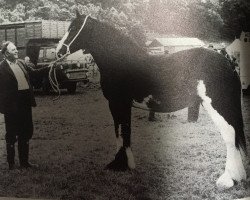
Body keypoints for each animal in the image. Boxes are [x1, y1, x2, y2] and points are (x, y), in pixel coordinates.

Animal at [55, 11, 247, 188]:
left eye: (73, 28)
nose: (58, 52)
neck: (120, 62)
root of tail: (227, 62)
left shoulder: (118, 103)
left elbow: (121, 132)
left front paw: (120, 164)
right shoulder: (121, 105)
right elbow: (123, 133)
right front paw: (124, 164)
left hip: (217, 105)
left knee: (230, 135)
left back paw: (228, 179)